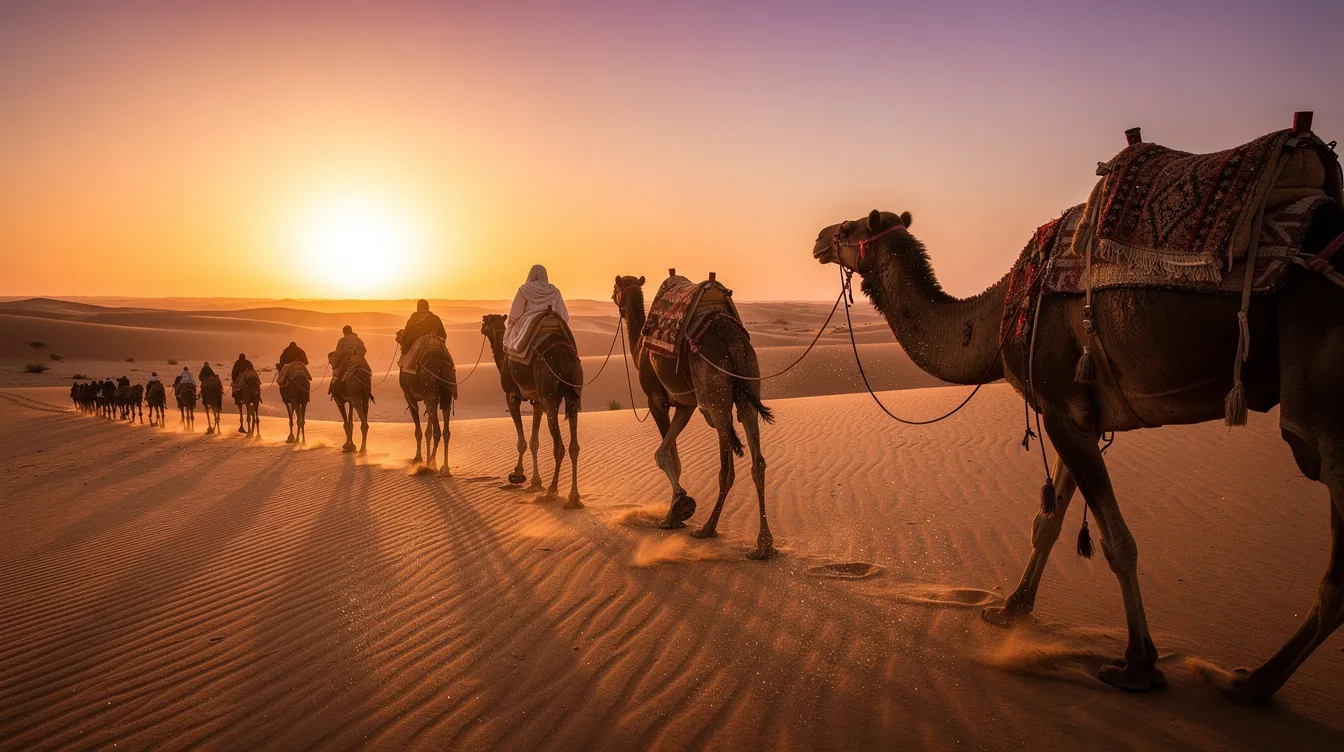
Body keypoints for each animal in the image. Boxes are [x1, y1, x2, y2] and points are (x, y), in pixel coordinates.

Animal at [396, 332, 456, 473]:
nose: (397, 337)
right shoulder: (430, 399)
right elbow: (428, 431)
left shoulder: (409, 396)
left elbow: (418, 431)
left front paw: (417, 459)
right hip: (446, 395)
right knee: (445, 431)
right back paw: (444, 468)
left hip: (430, 392)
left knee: (437, 431)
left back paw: (428, 466)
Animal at [480, 314, 583, 506]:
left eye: (485, 321)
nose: (481, 328)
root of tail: (564, 355)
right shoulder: (537, 402)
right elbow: (534, 441)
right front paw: (536, 482)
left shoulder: (511, 396)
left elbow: (522, 440)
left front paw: (518, 474)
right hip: (573, 394)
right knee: (574, 446)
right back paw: (574, 496)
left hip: (550, 396)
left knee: (559, 446)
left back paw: (552, 490)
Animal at [612, 276, 776, 558]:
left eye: (615, 289)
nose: (615, 299)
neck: (639, 349)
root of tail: (730, 335)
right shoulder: (684, 406)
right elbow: (673, 453)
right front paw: (677, 510)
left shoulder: (657, 400)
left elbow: (665, 454)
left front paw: (677, 510)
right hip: (748, 385)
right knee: (758, 462)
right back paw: (763, 545)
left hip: (715, 399)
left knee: (727, 468)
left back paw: (708, 528)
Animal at [812, 203, 1344, 698]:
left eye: (852, 226)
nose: (819, 238)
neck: (1000, 314)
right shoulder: (1076, 414)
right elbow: (1047, 525)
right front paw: (1010, 611)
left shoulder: (1060, 408)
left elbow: (1117, 543)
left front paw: (1137, 665)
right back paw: (1252, 681)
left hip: (1324, 418)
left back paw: (1247, 682)